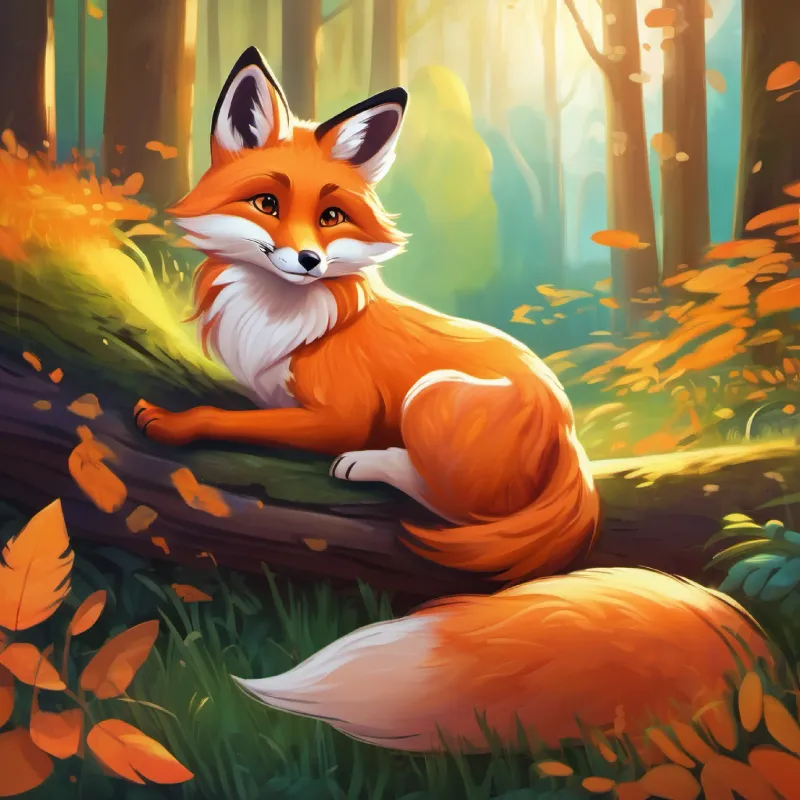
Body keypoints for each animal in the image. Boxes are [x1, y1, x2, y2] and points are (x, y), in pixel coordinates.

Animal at [134, 47, 775, 754]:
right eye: (267, 203)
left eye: (331, 217)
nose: (307, 260)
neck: (280, 316)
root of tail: (570, 440)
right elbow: (241, 402)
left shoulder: (338, 417)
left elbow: (230, 418)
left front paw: (170, 422)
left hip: (429, 395)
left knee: (449, 502)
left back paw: (373, 464)